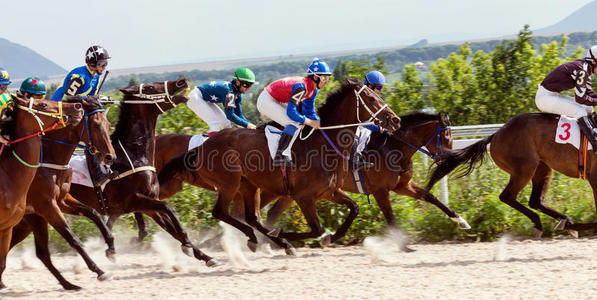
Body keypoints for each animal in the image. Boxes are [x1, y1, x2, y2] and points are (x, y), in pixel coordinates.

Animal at [64, 79, 221, 268]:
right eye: (151, 87)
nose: (181, 81)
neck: (133, 154)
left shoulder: (148, 203)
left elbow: (172, 228)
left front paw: (203, 255)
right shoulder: (133, 200)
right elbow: (169, 208)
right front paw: (188, 245)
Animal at [158, 78, 400, 252]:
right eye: (371, 99)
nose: (395, 120)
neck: (323, 143)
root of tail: (203, 146)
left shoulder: (328, 191)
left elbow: (354, 208)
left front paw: (331, 237)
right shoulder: (304, 196)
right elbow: (316, 229)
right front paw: (283, 234)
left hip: (249, 185)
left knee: (251, 217)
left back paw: (265, 241)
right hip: (229, 183)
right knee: (221, 212)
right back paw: (264, 239)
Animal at [424, 113, 597, 239]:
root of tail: (497, 134)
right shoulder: (594, 178)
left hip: (542, 168)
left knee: (536, 201)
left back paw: (565, 222)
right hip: (524, 169)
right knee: (508, 196)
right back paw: (555, 223)